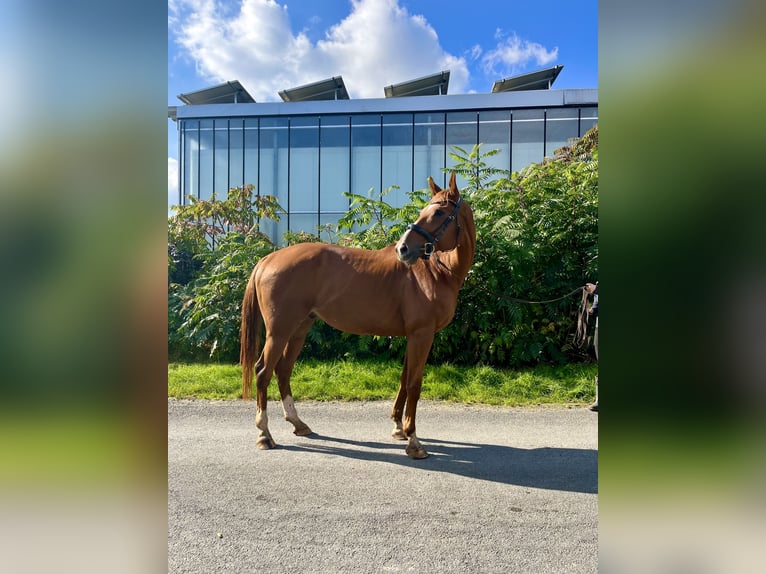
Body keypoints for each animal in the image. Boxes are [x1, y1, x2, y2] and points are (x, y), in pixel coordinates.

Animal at [243, 173, 476, 462]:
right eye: (425, 211)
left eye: (440, 212)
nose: (403, 249)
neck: (435, 272)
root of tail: (268, 260)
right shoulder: (422, 335)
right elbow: (414, 384)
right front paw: (413, 440)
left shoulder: (413, 335)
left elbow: (404, 378)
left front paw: (398, 428)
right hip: (279, 331)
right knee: (263, 371)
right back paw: (264, 434)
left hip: (299, 328)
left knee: (283, 370)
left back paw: (298, 423)